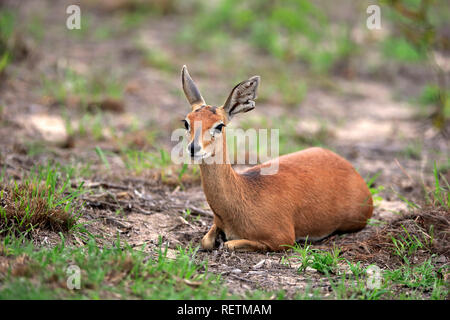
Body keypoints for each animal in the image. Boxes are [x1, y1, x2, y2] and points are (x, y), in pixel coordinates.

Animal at [179, 65, 372, 251]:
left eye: (219, 125)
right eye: (186, 122)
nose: (194, 148)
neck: (243, 196)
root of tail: (349, 167)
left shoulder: (283, 239)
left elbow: (229, 244)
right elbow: (206, 241)